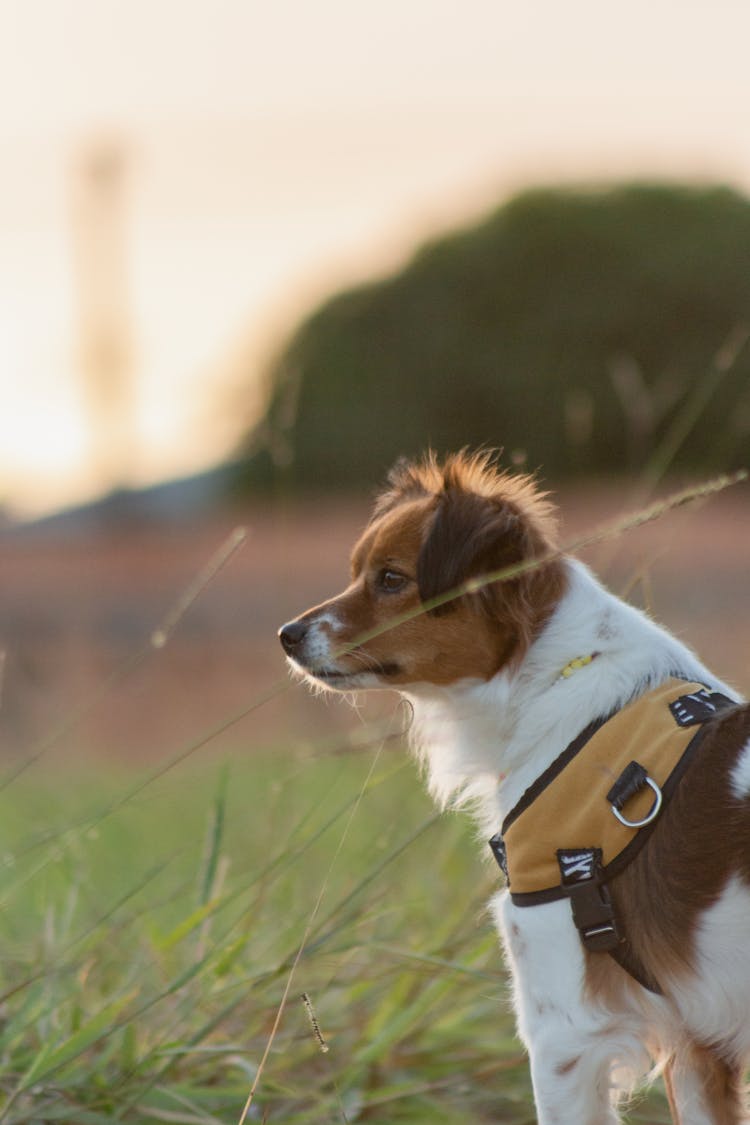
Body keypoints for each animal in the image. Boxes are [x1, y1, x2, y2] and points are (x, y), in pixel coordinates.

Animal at [277, 450, 750, 1125]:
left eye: (391, 579)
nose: (287, 635)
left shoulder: (565, 1035)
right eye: (357, 572)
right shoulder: (695, 1042)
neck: (545, 680)